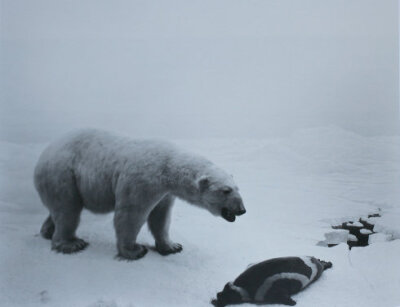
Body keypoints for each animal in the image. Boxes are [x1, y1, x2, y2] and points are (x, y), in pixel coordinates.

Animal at [34, 129, 245, 262]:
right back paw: (71, 243)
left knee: (60, 209)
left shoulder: (164, 192)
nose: (242, 210)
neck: (168, 166)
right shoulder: (142, 180)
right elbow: (131, 214)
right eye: (226, 191)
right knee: (67, 209)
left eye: (238, 188)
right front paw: (135, 251)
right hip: (63, 174)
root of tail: (43, 154)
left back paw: (47, 232)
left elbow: (161, 217)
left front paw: (172, 246)